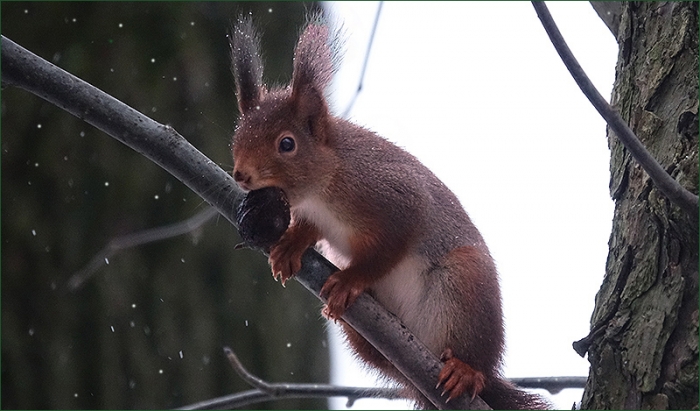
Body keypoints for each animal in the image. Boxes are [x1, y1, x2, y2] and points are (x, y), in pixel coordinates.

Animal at [229, 14, 549, 410]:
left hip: (467, 286)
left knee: (477, 359)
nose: (240, 174)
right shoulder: (315, 213)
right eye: (237, 134)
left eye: (286, 144)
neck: (324, 185)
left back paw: (467, 371)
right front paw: (290, 246)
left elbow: (388, 249)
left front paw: (351, 279)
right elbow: (308, 230)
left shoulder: (396, 198)